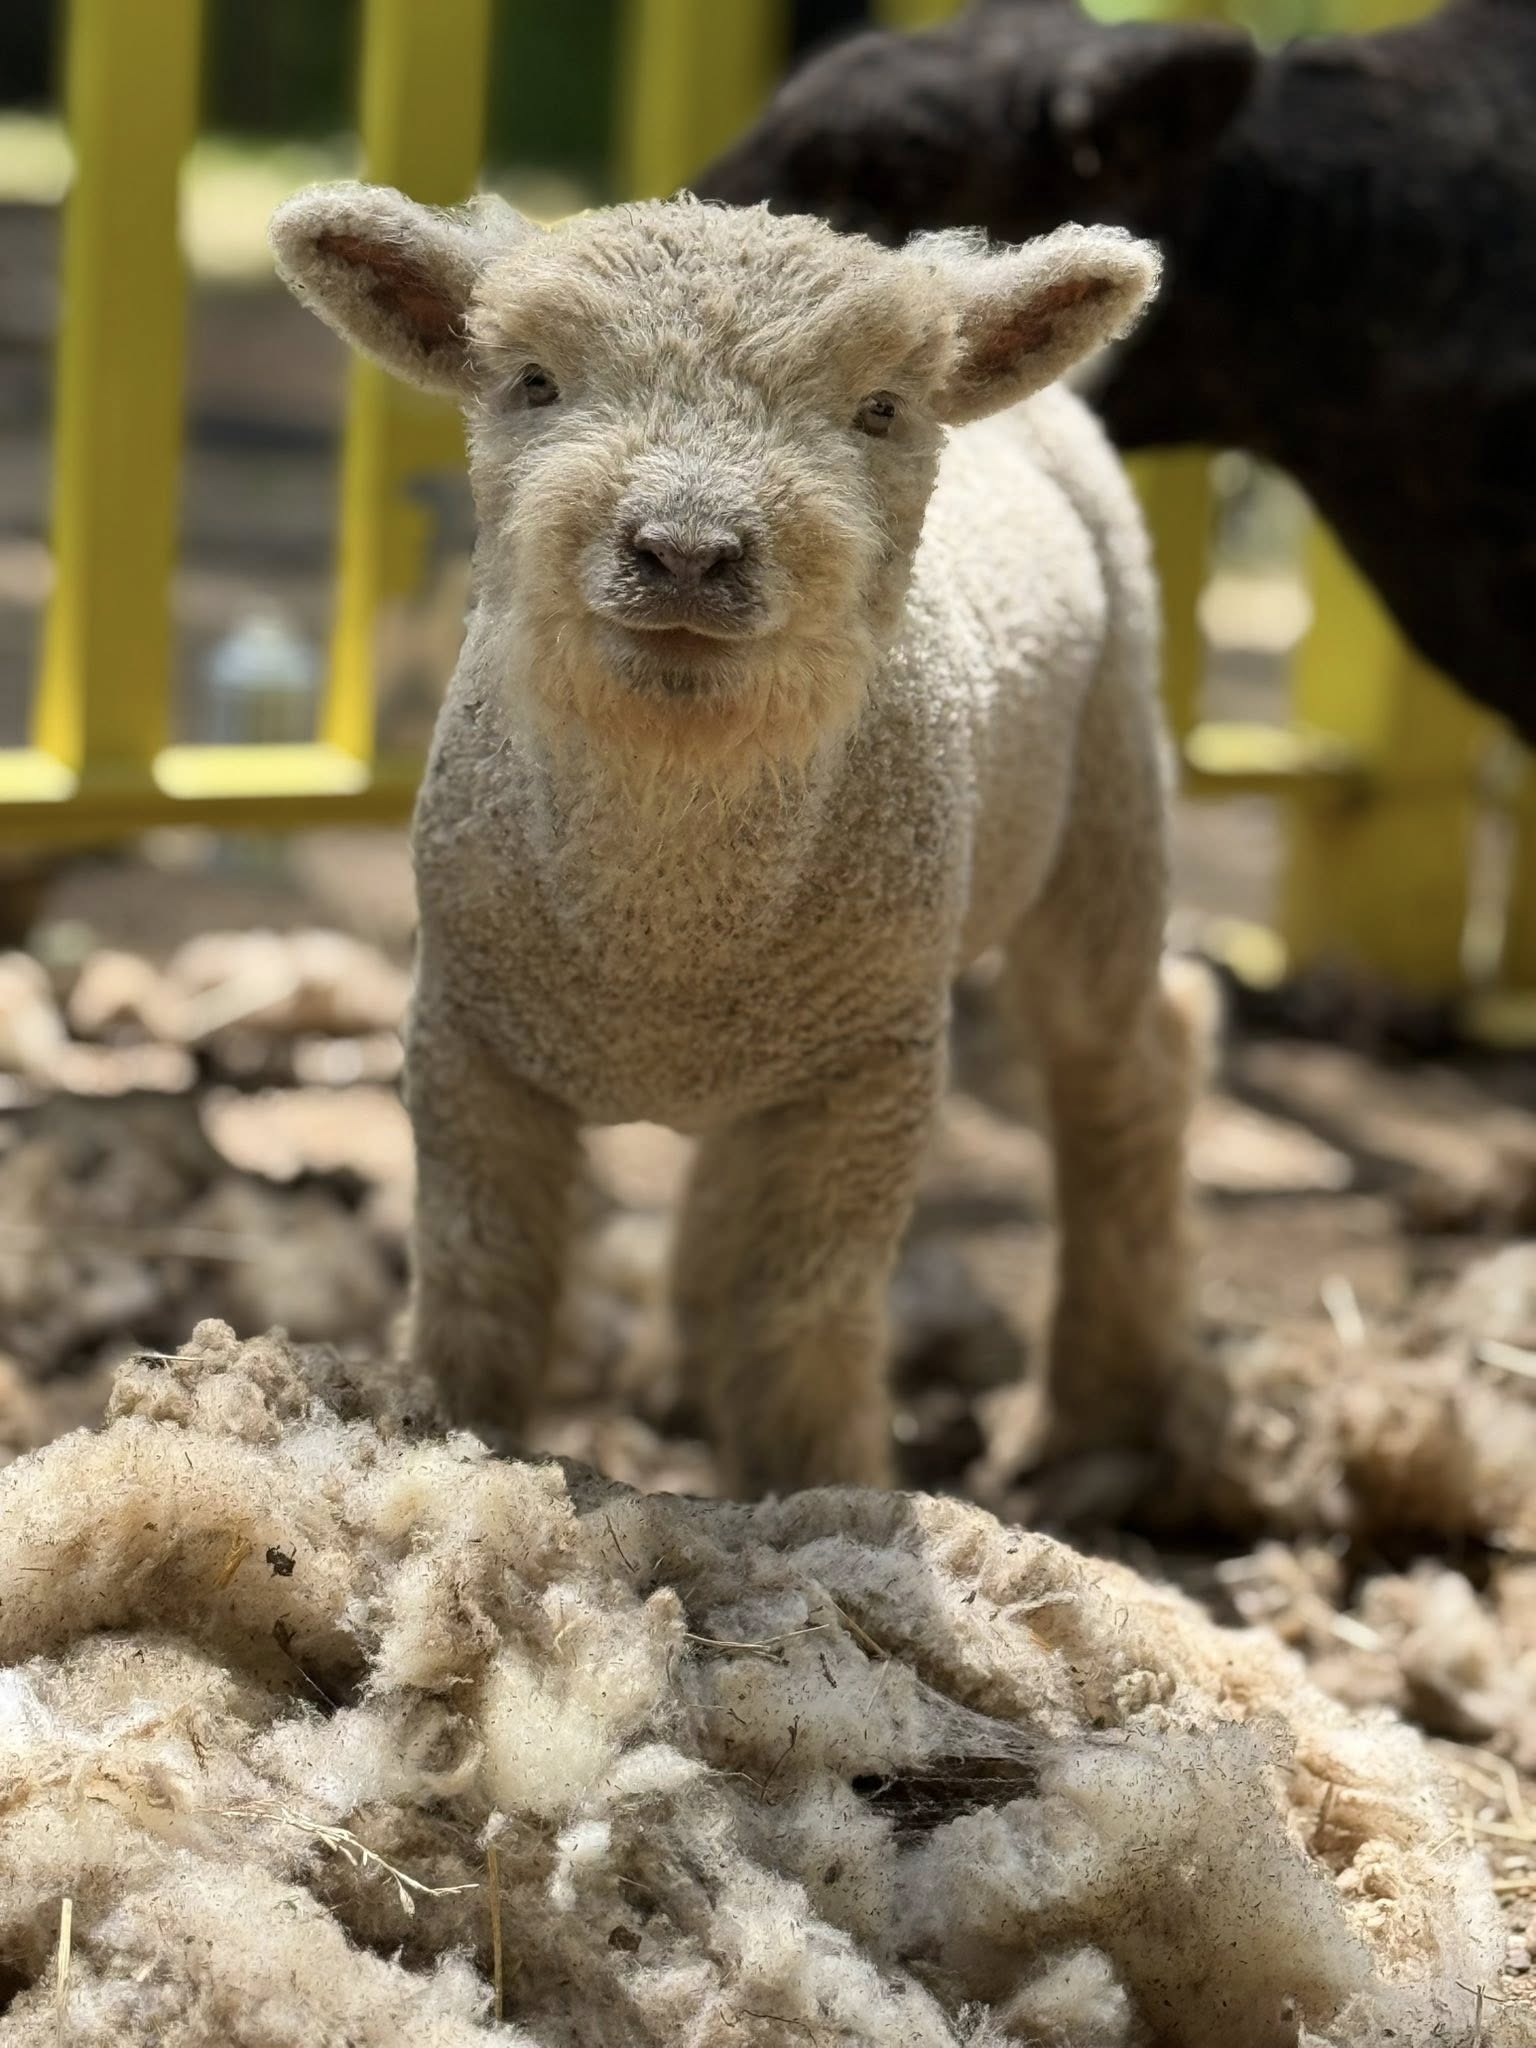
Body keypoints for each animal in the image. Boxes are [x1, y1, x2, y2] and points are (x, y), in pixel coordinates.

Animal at [269, 184, 1197, 1495]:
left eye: (880, 408)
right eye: (533, 382)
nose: (687, 550)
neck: (670, 939)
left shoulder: (874, 1065)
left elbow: (808, 1319)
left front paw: (817, 1486)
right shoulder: (464, 1035)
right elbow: (480, 1283)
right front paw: (455, 1425)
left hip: (1107, 799)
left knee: (1130, 1063)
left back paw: (1097, 1410)